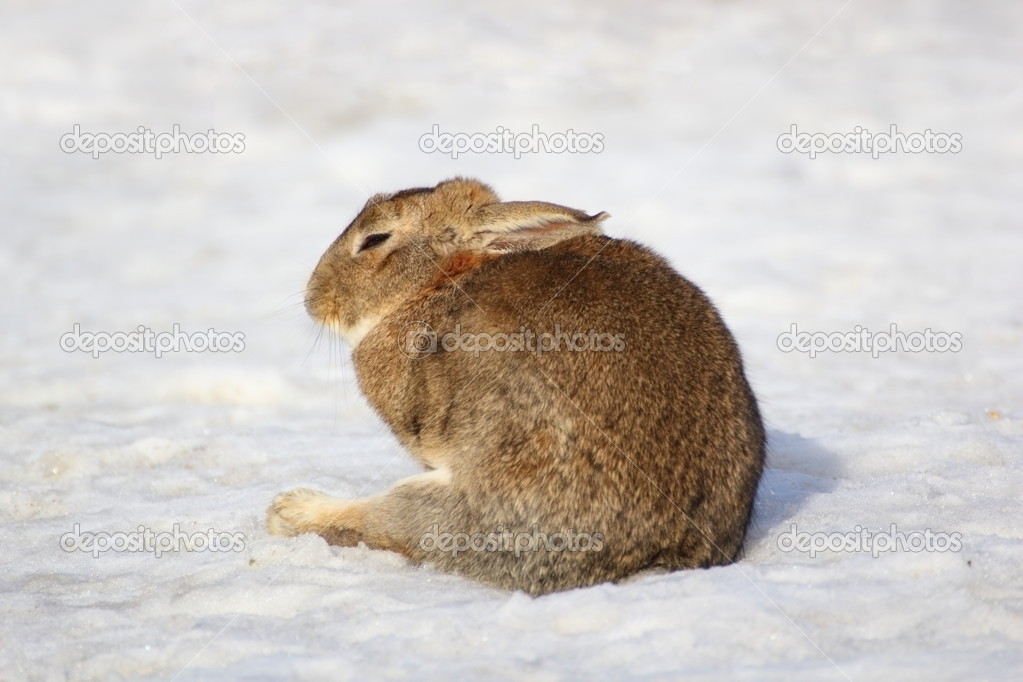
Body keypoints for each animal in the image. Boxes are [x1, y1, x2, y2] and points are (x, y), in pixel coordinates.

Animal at [267, 177, 765, 596]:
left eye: (374, 240)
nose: (314, 298)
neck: (439, 282)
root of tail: (651, 557)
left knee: (387, 523)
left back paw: (287, 510)